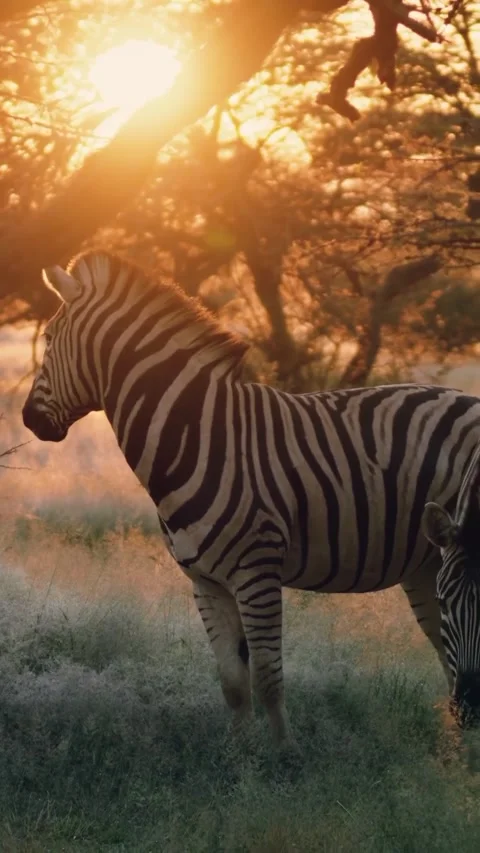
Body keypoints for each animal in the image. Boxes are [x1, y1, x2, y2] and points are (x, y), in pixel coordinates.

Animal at [22, 250, 480, 748]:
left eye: (50, 338)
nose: (27, 420)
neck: (195, 435)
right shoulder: (206, 582)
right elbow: (233, 683)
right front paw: (239, 756)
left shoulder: (257, 572)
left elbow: (267, 677)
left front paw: (284, 756)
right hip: (429, 564)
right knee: (446, 655)